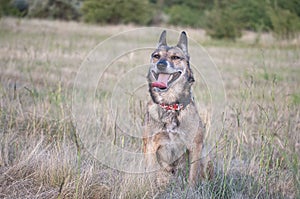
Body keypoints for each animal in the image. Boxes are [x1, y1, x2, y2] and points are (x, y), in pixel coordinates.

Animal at [143, 30, 213, 186]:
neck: (170, 105)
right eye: (156, 56)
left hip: (205, 154)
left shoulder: (195, 146)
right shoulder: (150, 145)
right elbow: (149, 173)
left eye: (175, 57)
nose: (161, 64)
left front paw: (191, 190)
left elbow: (192, 176)